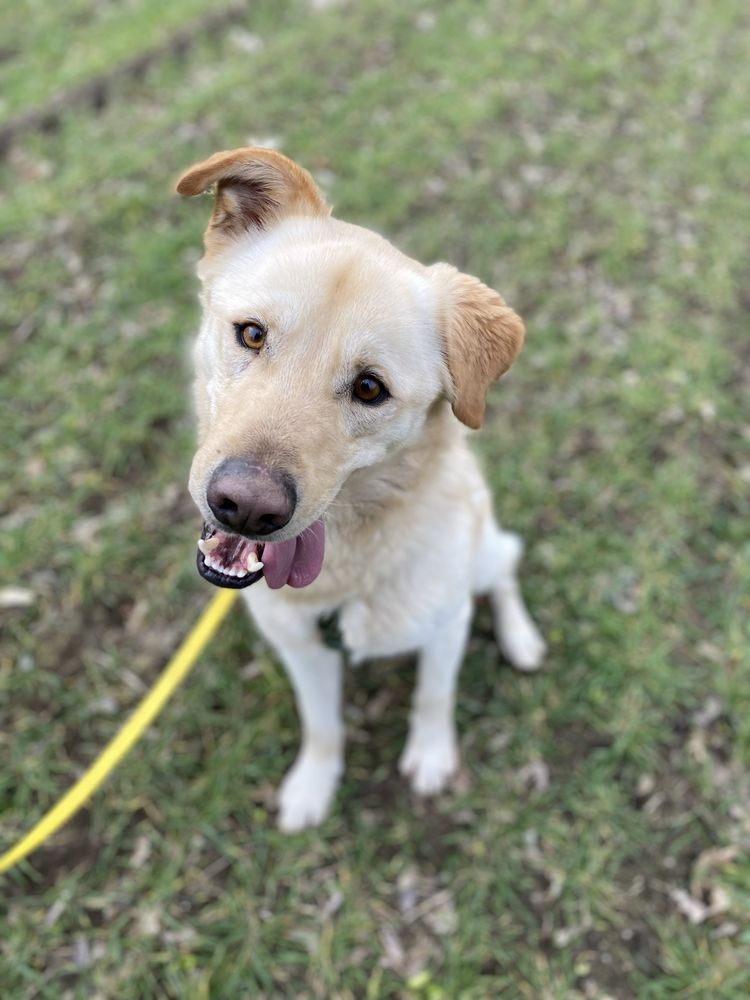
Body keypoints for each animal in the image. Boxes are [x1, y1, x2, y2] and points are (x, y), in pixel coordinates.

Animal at [178, 148, 548, 832]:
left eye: (370, 389)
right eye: (251, 334)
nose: (244, 508)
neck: (347, 571)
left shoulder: (446, 625)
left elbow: (434, 695)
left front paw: (431, 757)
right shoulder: (303, 651)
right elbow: (323, 727)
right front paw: (312, 786)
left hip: (482, 554)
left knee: (505, 571)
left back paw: (522, 639)